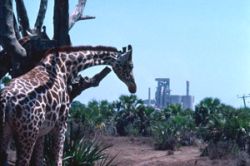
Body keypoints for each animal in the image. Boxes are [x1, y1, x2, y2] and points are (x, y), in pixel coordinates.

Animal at [0, 44, 137, 165]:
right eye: (130, 65)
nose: (133, 88)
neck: (65, 67)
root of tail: (5, 99)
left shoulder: (42, 131)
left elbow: (39, 161)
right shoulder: (62, 122)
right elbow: (58, 160)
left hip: (10, 133)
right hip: (28, 134)